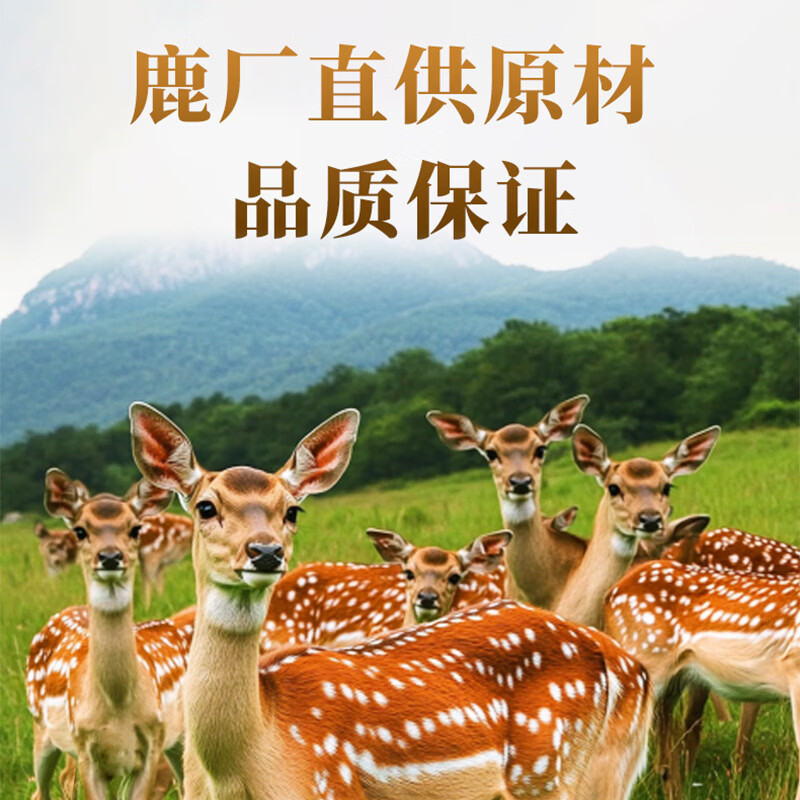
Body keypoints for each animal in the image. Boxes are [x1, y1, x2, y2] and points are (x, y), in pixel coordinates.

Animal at [25, 470, 190, 800]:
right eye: (80, 530)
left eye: (136, 528)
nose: (110, 556)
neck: (117, 705)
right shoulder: (85, 748)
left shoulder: (152, 743)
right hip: (40, 728)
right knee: (41, 790)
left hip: (180, 738)